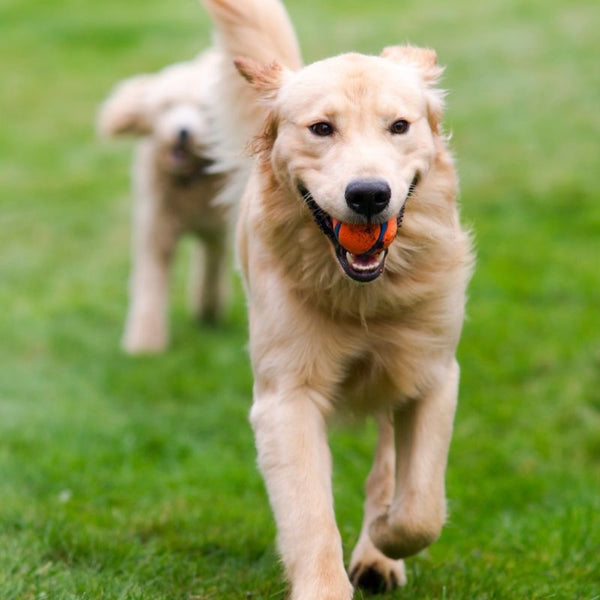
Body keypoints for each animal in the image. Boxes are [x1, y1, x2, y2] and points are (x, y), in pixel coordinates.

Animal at [98, 51, 230, 354]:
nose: (183, 132)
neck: (189, 179)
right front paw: (145, 344)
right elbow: (150, 283)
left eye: (203, 111)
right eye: (167, 106)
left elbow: (212, 268)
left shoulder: (216, 230)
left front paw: (208, 309)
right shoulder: (155, 229)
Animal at [206, 2, 474, 596]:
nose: (369, 195)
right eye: (321, 128)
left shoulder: (433, 373)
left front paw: (386, 535)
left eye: (399, 126)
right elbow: (309, 516)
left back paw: (377, 552)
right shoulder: (286, 397)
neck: (364, 297)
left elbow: (420, 508)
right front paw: (327, 582)